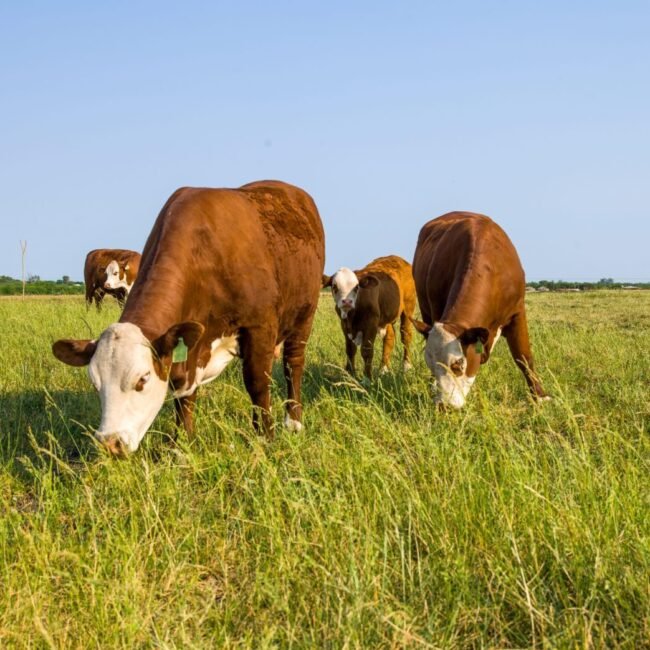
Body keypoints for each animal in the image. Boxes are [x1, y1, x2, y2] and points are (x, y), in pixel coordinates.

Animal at [52, 181, 325, 455]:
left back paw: (293, 421)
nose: (110, 443)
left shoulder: (260, 327)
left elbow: (258, 383)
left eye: (142, 379)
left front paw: (265, 438)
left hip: (304, 315)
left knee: (293, 365)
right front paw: (181, 445)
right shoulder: (188, 343)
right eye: (95, 384)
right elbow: (184, 394)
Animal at [411, 211, 548, 409]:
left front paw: (540, 397)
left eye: (458, 364)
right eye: (430, 364)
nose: (443, 406)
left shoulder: (517, 313)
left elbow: (524, 357)